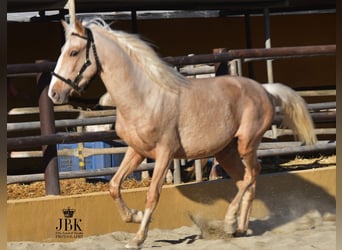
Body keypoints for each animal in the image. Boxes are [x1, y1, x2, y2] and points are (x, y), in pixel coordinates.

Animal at [47, 18, 316, 249]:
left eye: (73, 52)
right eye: (61, 50)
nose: (54, 93)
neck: (144, 96)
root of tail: (264, 89)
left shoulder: (165, 154)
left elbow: (152, 195)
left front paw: (138, 238)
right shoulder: (136, 151)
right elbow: (114, 186)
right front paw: (135, 216)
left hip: (246, 144)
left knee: (253, 173)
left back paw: (230, 221)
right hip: (225, 152)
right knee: (245, 181)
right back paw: (238, 228)